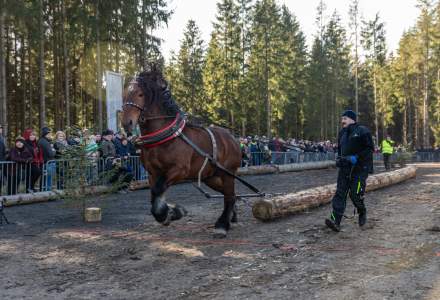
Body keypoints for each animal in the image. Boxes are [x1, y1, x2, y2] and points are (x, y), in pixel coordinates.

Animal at [122, 67, 241, 237]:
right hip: (211, 177)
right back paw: (232, 216)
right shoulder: (153, 173)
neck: (166, 136)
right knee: (229, 194)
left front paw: (172, 212)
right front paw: (170, 213)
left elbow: (158, 190)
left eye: (140, 94)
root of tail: (233, 139)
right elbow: (155, 194)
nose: (127, 123)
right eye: (125, 93)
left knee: (229, 196)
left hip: (228, 173)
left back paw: (222, 224)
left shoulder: (179, 170)